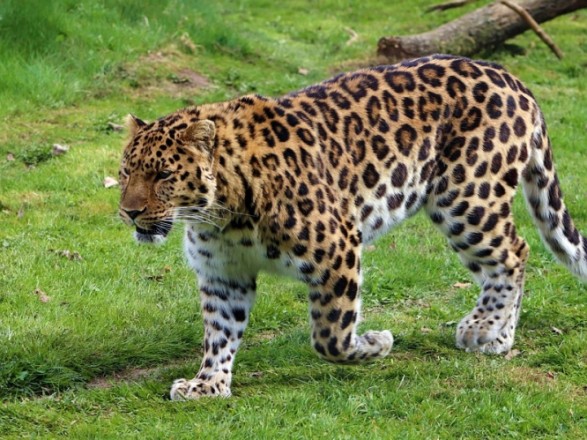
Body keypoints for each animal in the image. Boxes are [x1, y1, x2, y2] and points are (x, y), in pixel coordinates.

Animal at [119, 54, 587, 398]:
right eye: (125, 173)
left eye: (162, 175)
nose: (129, 212)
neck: (220, 215)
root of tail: (512, 79)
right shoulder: (223, 274)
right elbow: (219, 333)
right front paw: (207, 385)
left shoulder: (337, 247)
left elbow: (331, 336)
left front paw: (376, 343)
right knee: (509, 256)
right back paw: (500, 338)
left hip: (467, 198)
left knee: (514, 253)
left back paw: (483, 327)